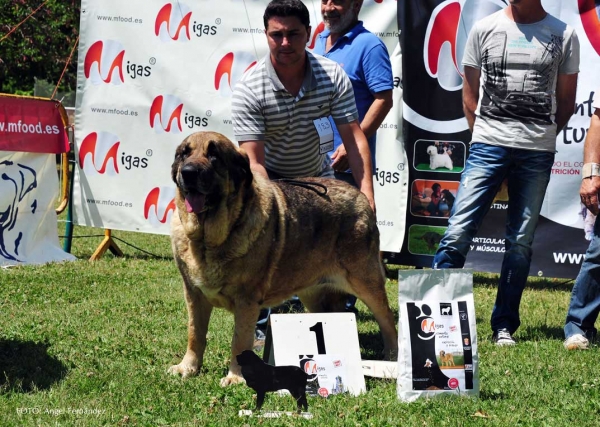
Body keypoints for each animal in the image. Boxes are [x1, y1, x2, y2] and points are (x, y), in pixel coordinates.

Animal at [166, 132, 396, 386]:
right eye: (184, 154)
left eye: (214, 155)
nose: (188, 172)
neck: (209, 241)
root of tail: (361, 196)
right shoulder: (194, 295)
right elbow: (195, 334)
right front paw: (188, 368)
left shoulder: (246, 301)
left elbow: (239, 341)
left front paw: (235, 377)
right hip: (313, 295)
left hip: (365, 283)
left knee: (387, 321)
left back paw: (391, 359)